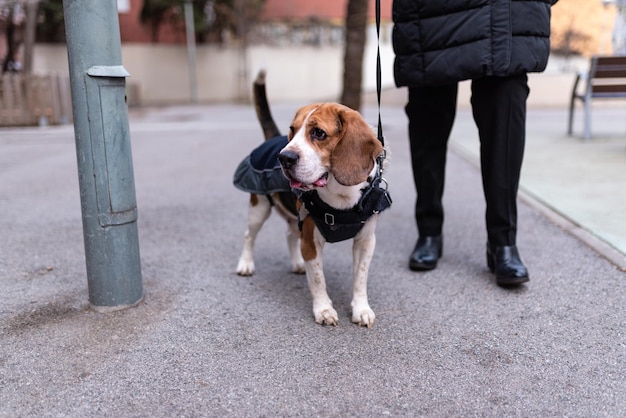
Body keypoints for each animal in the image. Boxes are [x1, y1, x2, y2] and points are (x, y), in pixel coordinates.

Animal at [234, 71, 390, 326]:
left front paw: (361, 308)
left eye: (318, 133)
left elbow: (360, 277)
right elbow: (318, 278)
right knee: (249, 236)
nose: (283, 157)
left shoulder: (366, 241)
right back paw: (246, 264)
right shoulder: (310, 241)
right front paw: (324, 309)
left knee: (289, 234)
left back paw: (297, 264)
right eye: (293, 130)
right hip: (259, 208)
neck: (340, 194)